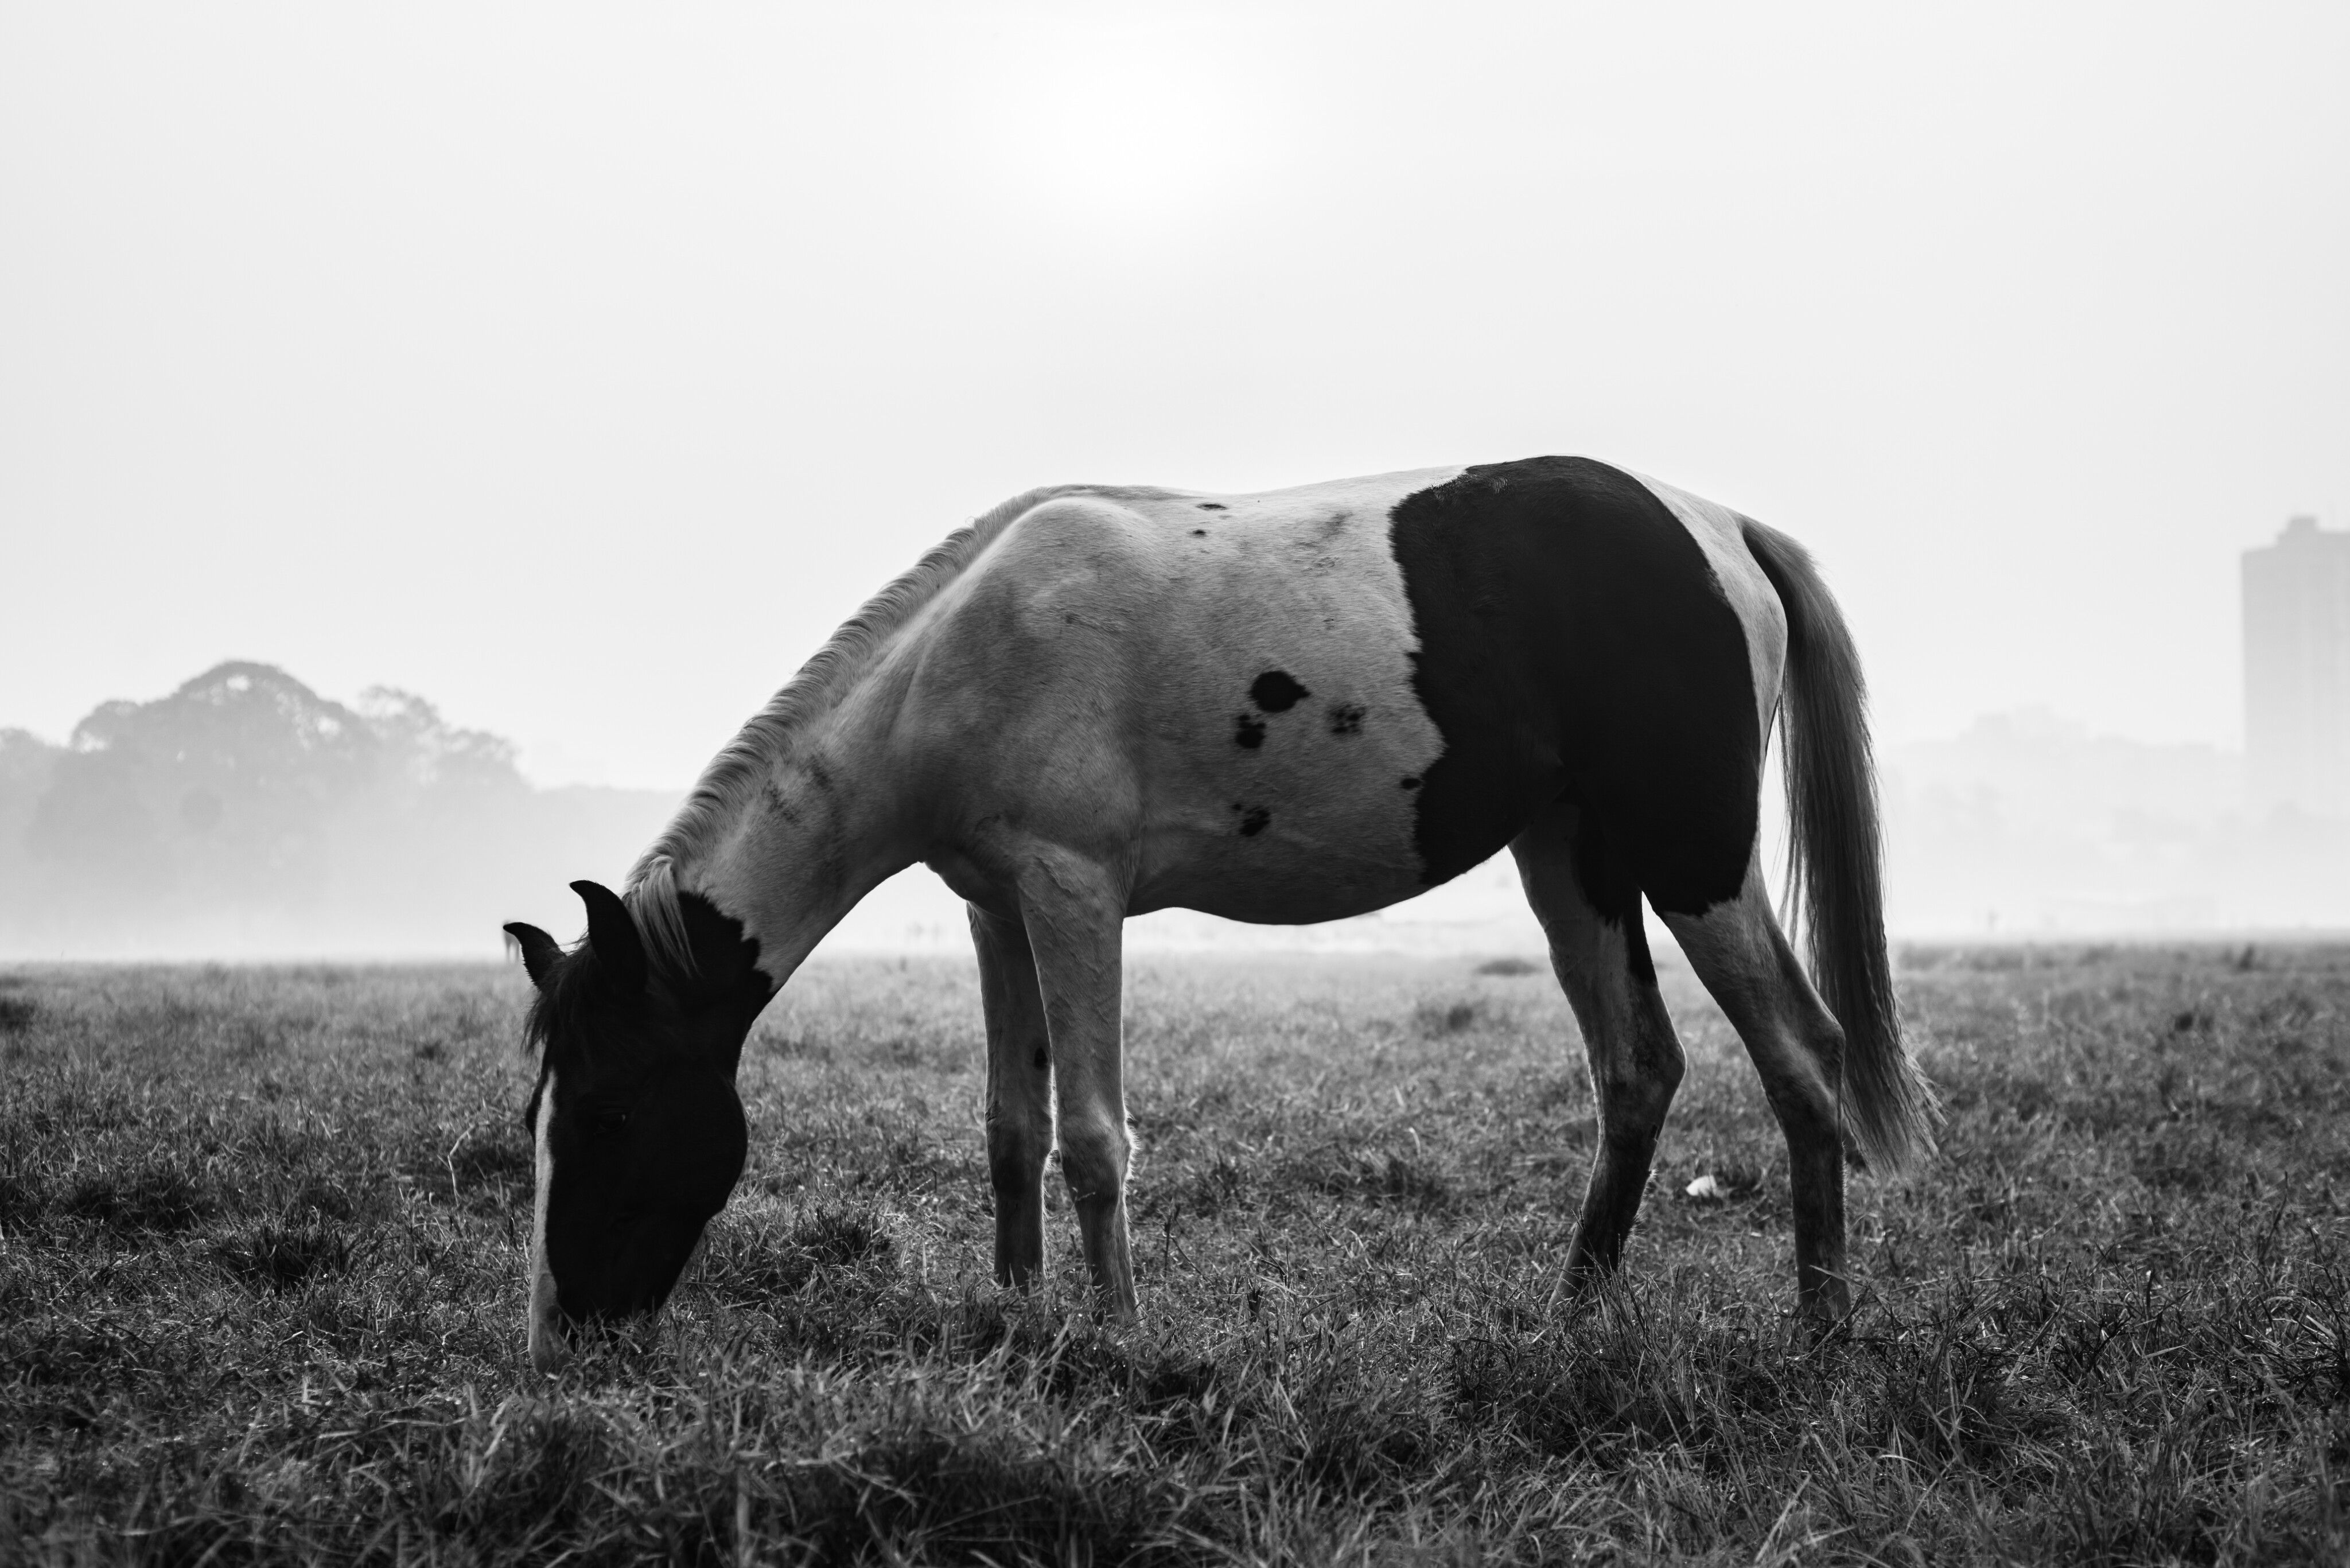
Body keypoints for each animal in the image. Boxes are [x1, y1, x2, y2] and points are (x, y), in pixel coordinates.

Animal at [503, 455, 1933, 1372]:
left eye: (610, 1113)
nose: (562, 1331)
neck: (959, 655)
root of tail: (1716, 527)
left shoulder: (1072, 892)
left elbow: (1091, 1136)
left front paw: (1121, 1341)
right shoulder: (995, 911)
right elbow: (1010, 1127)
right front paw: (1019, 1322)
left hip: (1690, 859)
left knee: (1800, 1055)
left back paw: (1820, 1332)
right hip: (1567, 858)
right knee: (1637, 1070)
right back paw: (1568, 1322)